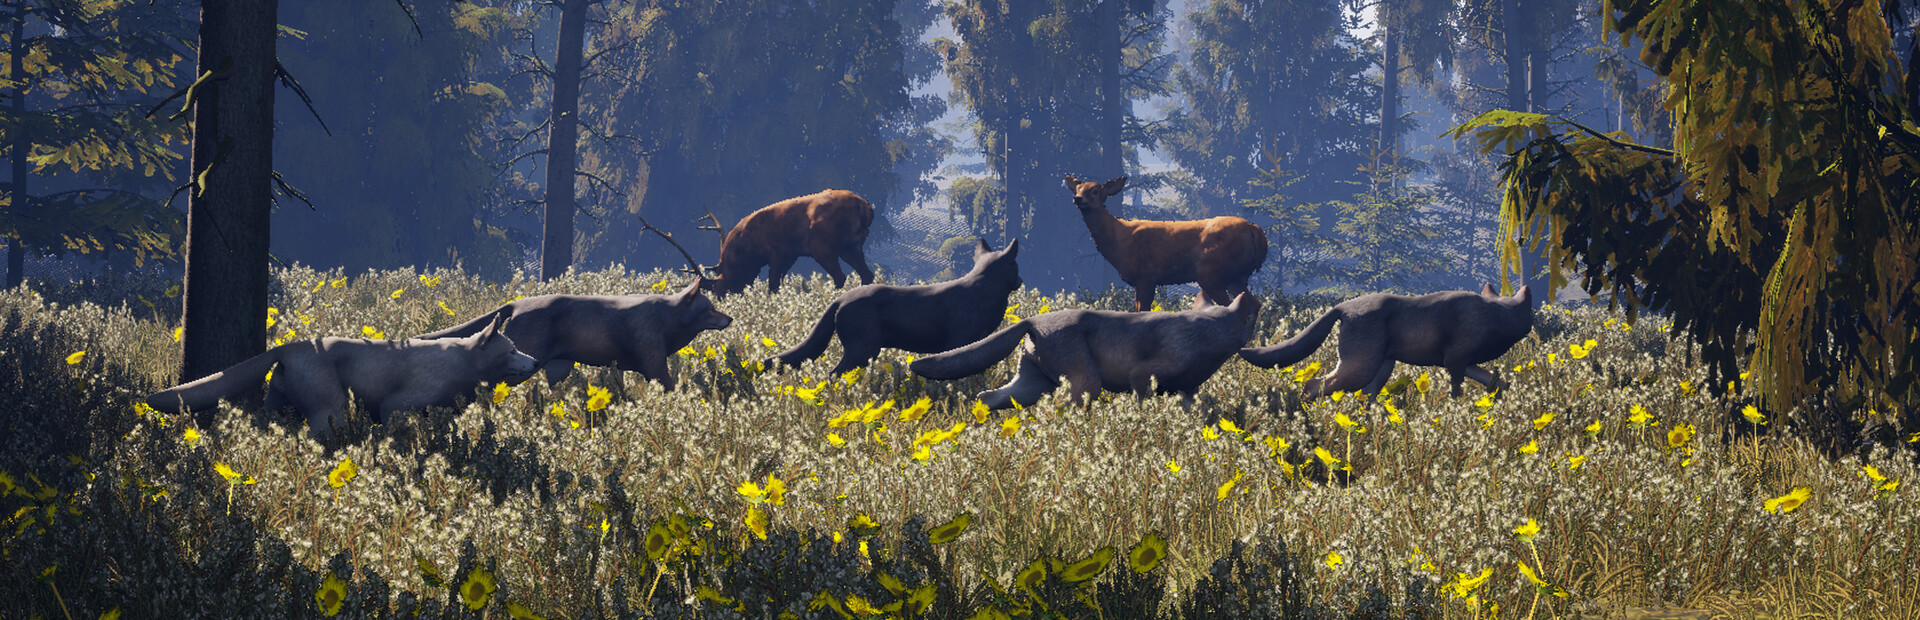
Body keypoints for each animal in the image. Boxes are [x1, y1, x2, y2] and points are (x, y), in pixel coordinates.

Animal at [146, 313, 538, 439]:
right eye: (511, 351)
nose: (535, 363)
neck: (465, 362)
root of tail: (287, 347)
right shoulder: (396, 405)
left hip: (278, 404)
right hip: (331, 410)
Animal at [413, 278, 734, 388]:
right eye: (710, 309)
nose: (730, 318)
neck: (669, 318)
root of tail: (516, 303)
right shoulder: (654, 365)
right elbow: (672, 388)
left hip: (558, 367)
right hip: (526, 364)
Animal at [767, 239, 1023, 375]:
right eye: (1015, 265)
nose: (1021, 281)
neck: (985, 290)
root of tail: (840, 299)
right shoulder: (959, 342)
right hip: (863, 349)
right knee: (833, 375)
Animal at [910, 292, 1261, 409]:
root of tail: (1031, 320)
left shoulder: (1187, 391)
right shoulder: (1142, 375)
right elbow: (1144, 404)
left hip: (1032, 383)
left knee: (989, 397)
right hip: (1085, 383)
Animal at [1238, 285, 1534, 399]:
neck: (1494, 315)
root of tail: (1343, 306)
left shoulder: (1467, 364)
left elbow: (1496, 381)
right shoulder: (1456, 363)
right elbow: (1457, 391)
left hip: (1381, 370)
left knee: (1361, 397)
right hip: (1362, 368)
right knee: (1313, 385)